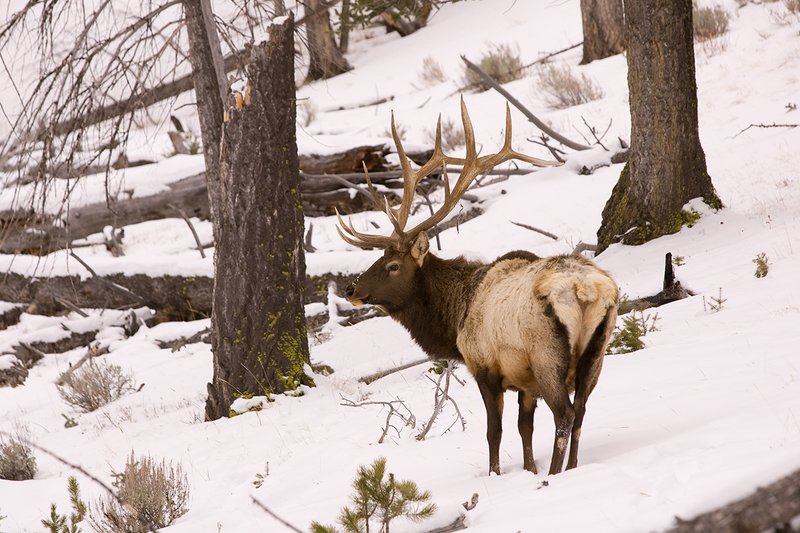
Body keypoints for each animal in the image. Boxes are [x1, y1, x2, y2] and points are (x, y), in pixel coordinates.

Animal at [336, 99, 619, 476]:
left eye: (392, 266)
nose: (351, 290)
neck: (455, 317)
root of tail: (587, 290)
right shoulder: (524, 381)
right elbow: (524, 428)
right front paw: (528, 469)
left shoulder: (485, 367)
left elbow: (494, 431)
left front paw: (496, 474)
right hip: (596, 352)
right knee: (583, 410)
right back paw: (571, 469)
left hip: (547, 354)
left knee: (566, 414)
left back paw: (553, 475)